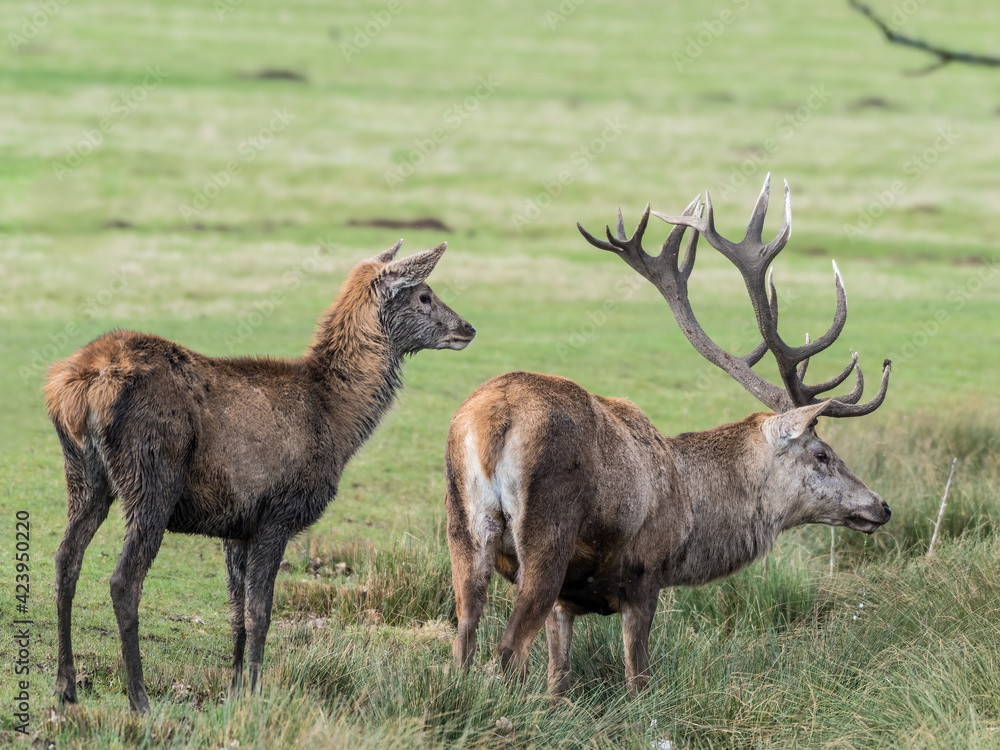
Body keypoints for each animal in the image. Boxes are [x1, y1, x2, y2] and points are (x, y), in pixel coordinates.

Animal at [44, 241, 476, 713]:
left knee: (65, 558)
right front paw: (255, 693)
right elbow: (260, 612)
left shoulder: (236, 523)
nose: (468, 328)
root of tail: (80, 383)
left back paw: (66, 684)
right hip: (152, 476)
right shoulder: (277, 512)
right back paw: (138, 698)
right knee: (123, 580)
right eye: (424, 295)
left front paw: (234, 692)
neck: (337, 421)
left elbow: (235, 612)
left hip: (83, 474)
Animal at [444, 176, 892, 699]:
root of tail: (492, 419)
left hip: (463, 525)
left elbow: (560, 679)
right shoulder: (645, 574)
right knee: (509, 648)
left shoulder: (568, 604)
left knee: (464, 637)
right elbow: (638, 677)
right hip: (546, 529)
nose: (881, 505)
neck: (692, 517)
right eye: (822, 453)